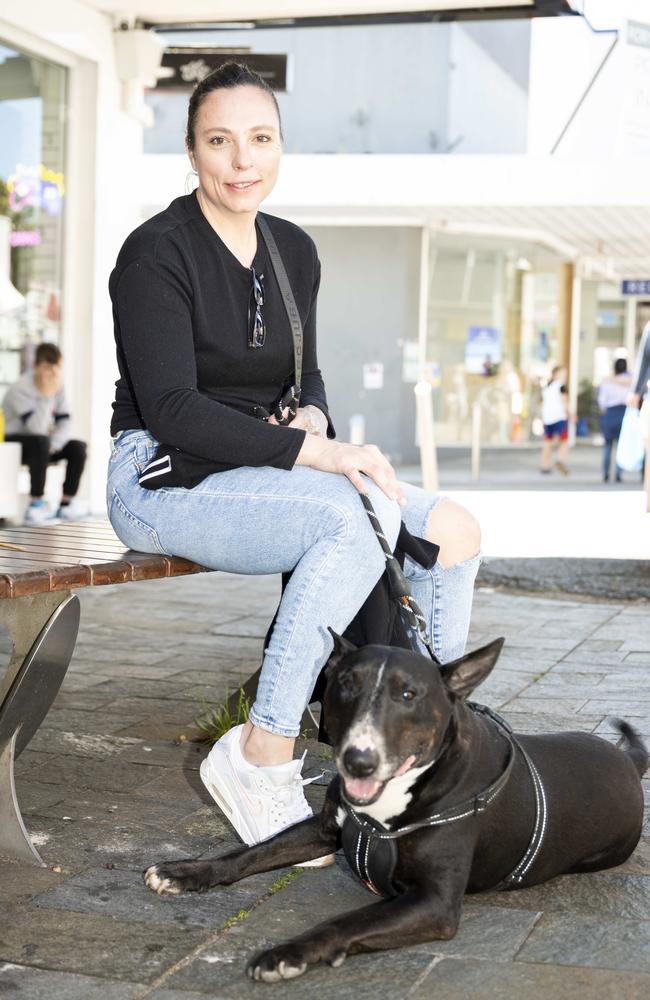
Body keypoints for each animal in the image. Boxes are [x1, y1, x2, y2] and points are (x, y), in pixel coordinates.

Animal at [144, 636, 644, 980]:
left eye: (409, 695)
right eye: (346, 684)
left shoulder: (435, 903)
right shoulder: (325, 829)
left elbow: (348, 922)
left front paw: (287, 954)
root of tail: (628, 760)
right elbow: (251, 853)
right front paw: (183, 873)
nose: (357, 761)